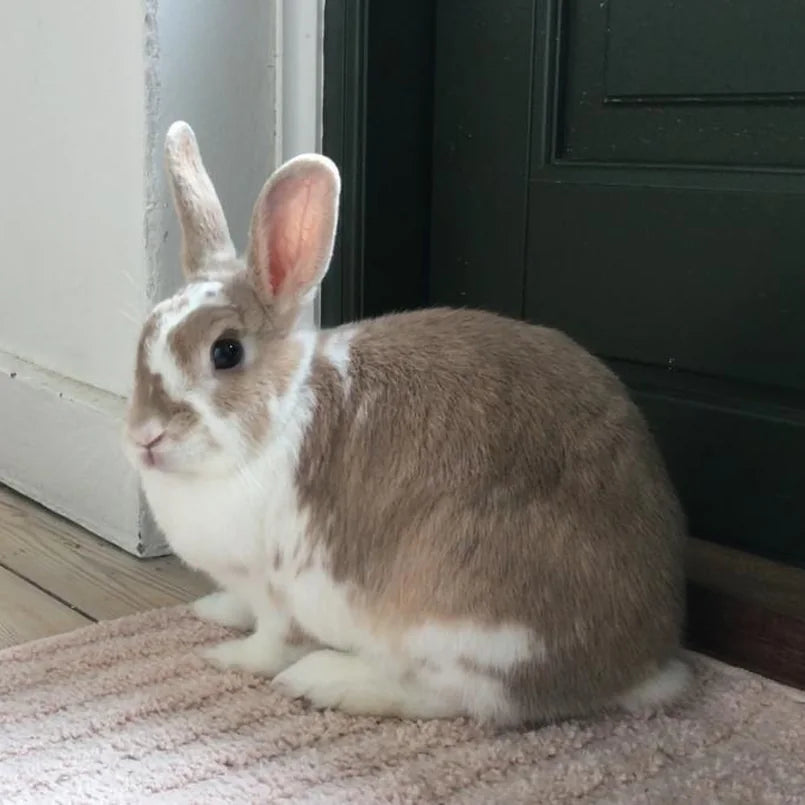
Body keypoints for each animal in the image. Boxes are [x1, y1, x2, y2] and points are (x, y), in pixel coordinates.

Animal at [123, 120, 689, 726]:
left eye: (226, 352)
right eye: (146, 332)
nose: (145, 438)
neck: (274, 424)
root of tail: (642, 664)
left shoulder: (281, 592)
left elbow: (272, 644)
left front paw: (228, 657)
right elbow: (238, 605)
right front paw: (213, 609)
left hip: (454, 623)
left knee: (457, 698)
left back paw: (327, 681)